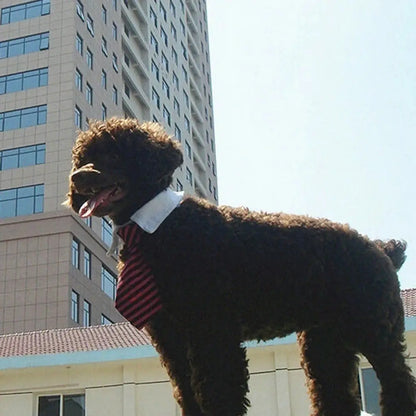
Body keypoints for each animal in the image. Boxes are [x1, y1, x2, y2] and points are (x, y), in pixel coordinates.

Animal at [64, 117, 412, 416]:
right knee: (337, 394)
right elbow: (188, 395)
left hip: (375, 331)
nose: (77, 177)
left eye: (113, 153)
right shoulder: (172, 339)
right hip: (325, 342)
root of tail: (380, 248)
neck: (158, 229)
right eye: (83, 157)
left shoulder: (212, 328)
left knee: (399, 383)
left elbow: (218, 392)